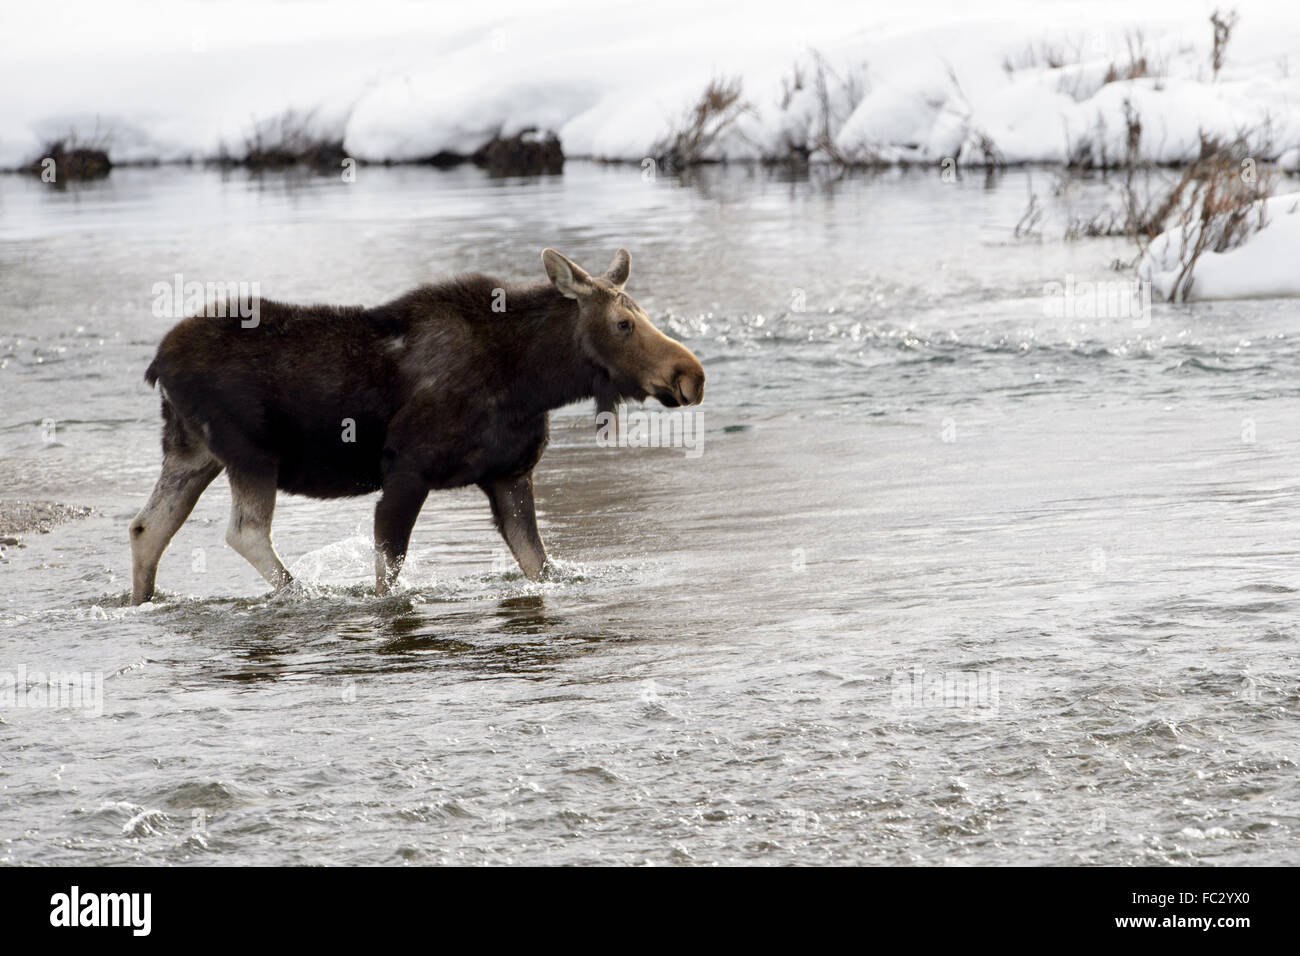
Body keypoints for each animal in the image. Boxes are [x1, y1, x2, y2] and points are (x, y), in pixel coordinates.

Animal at [126, 248, 707, 606]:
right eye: (623, 323)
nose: (692, 375)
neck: (534, 381)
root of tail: (158, 365)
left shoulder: (509, 475)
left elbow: (539, 566)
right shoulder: (407, 471)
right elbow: (387, 575)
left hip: (192, 453)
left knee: (147, 527)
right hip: (250, 454)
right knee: (244, 532)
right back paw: (300, 592)